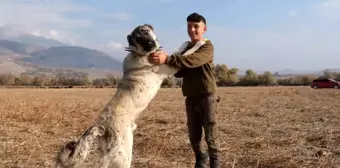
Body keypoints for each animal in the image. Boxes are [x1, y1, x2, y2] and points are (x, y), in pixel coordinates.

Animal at [55, 24, 207, 168]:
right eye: (138, 39)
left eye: (145, 31)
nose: (151, 44)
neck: (139, 53)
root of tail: (101, 125)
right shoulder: (170, 68)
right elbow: (185, 54)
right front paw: (200, 42)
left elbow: (179, 51)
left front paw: (187, 42)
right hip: (124, 153)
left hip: (107, 153)